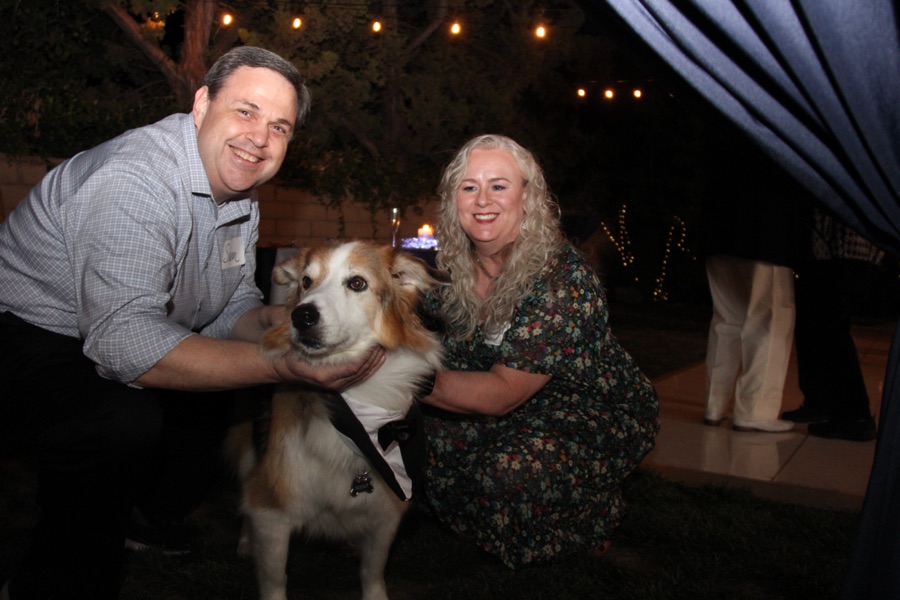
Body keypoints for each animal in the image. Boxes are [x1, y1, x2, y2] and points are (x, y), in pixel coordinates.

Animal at [230, 240, 444, 600]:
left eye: (357, 283)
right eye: (306, 281)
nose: (301, 316)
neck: (356, 415)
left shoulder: (386, 512)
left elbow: (373, 571)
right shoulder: (273, 512)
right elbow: (274, 579)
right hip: (249, 453)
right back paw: (245, 540)